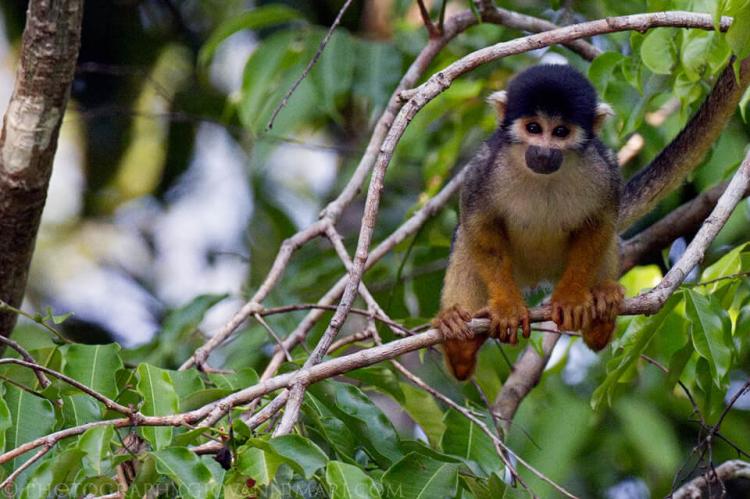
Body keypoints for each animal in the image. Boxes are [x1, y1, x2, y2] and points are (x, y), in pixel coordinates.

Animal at [432, 64, 625, 381]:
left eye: (560, 132)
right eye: (533, 128)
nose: (544, 152)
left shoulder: (603, 169)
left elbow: (600, 223)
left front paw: (572, 298)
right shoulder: (486, 167)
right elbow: (479, 225)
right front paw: (508, 308)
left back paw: (601, 316)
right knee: (465, 241)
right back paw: (460, 343)